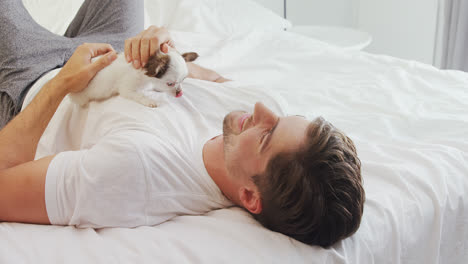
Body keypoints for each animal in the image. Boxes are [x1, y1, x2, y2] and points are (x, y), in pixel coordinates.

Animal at [70, 49, 199, 107]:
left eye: (183, 80)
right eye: (170, 84)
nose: (179, 93)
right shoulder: (127, 90)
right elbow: (139, 95)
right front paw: (149, 101)